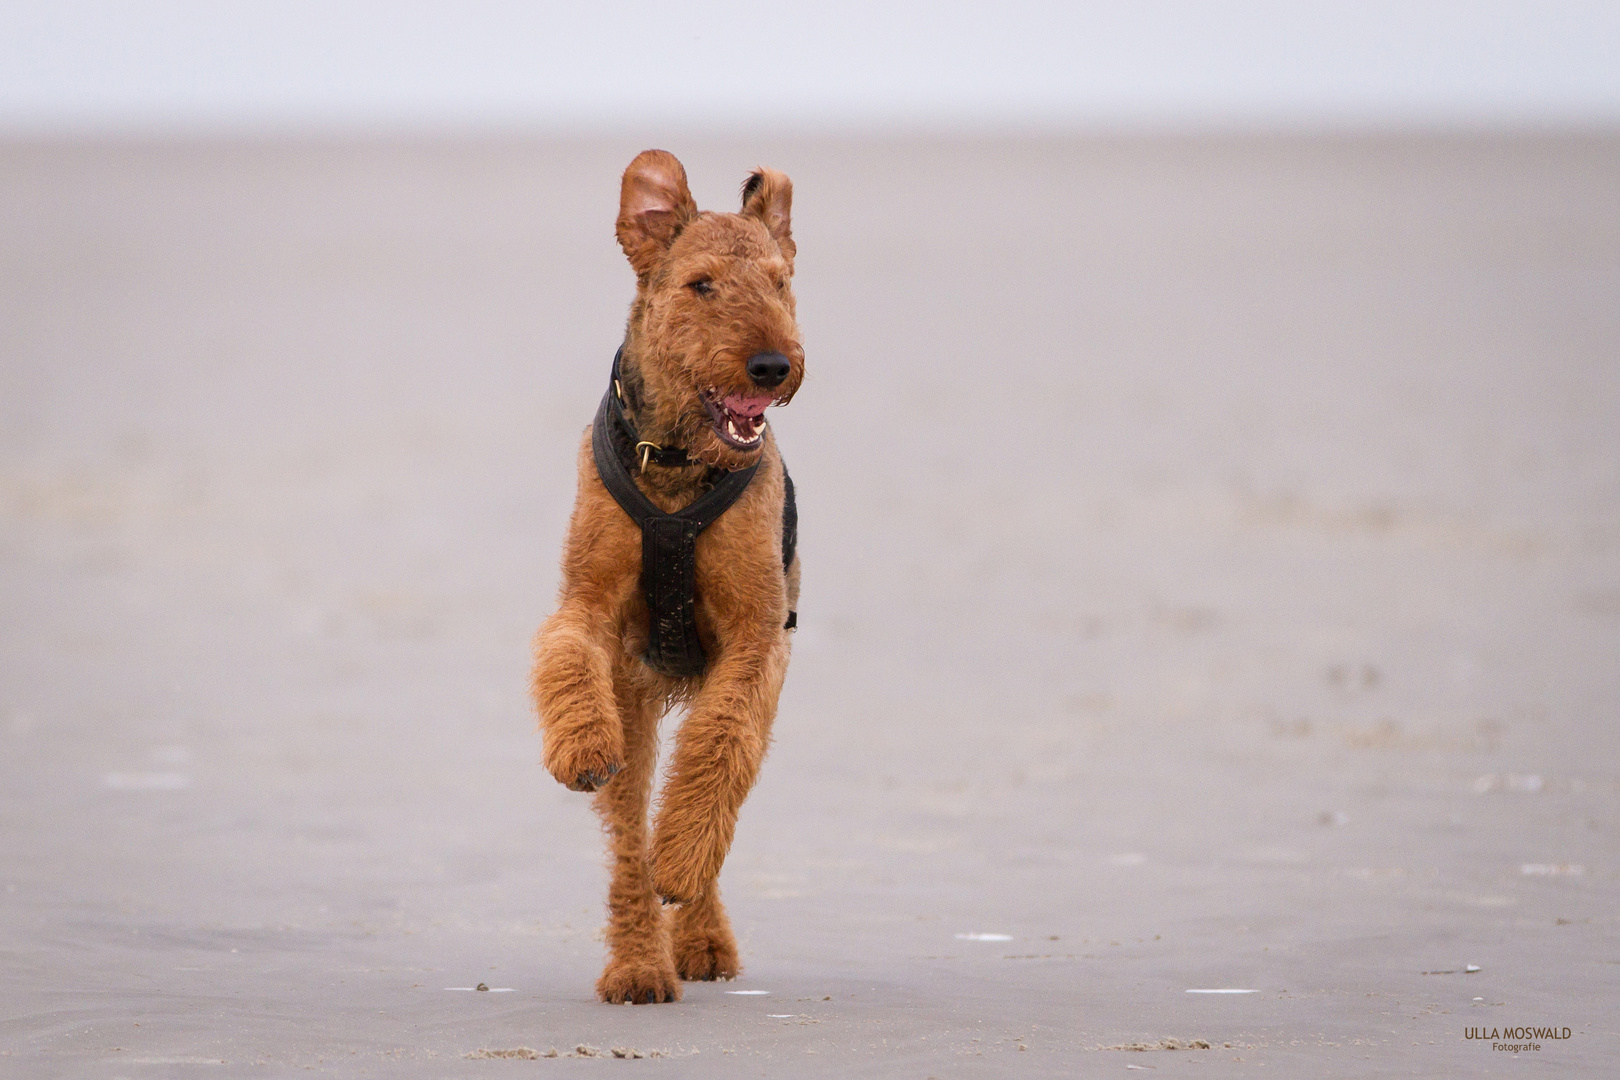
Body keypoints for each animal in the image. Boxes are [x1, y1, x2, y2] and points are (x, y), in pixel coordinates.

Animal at [534, 152, 806, 1003]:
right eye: (702, 284)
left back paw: (696, 925)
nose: (772, 365)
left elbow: (717, 751)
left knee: (704, 785)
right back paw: (637, 967)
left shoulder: (757, 636)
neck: (680, 466)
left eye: (780, 280)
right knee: (629, 838)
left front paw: (685, 859)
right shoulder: (585, 605)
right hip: (633, 697)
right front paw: (579, 747)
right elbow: (564, 655)